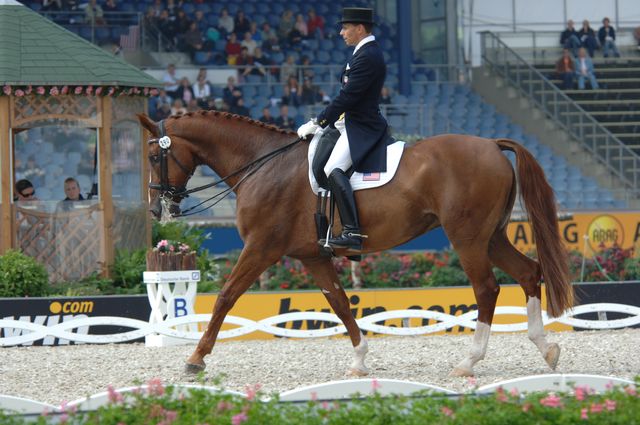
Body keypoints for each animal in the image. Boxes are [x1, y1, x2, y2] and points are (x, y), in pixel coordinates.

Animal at [138, 111, 573, 377]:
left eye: (153, 156)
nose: (157, 209)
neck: (262, 164)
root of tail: (492, 144)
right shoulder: (313, 256)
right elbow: (340, 303)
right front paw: (360, 361)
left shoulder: (261, 248)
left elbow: (226, 297)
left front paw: (195, 359)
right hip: (491, 236)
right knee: (528, 273)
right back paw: (546, 348)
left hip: (467, 237)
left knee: (487, 288)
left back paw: (469, 362)